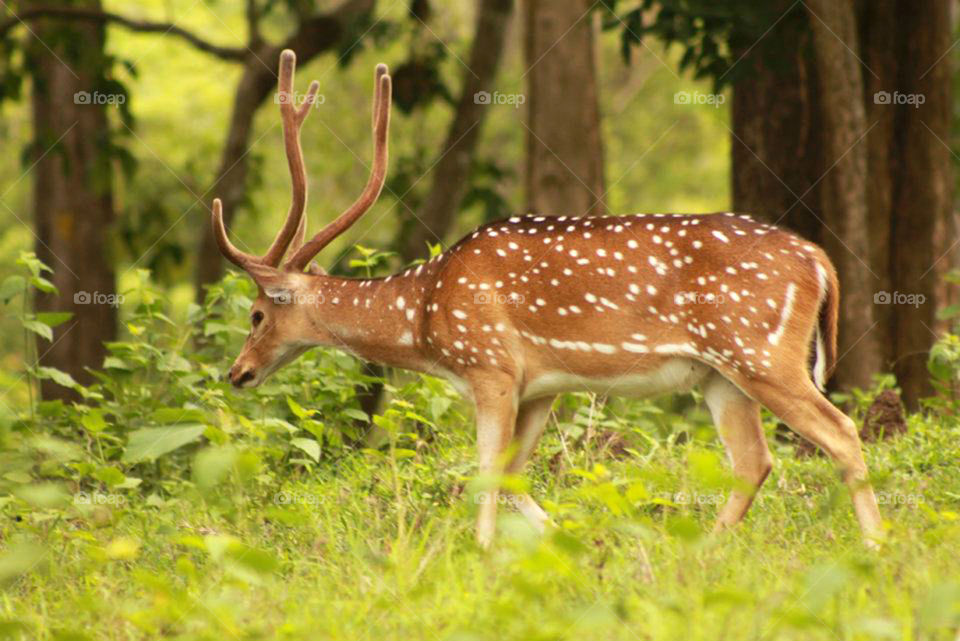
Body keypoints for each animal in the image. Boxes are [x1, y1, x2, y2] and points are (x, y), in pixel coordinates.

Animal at [210, 49, 884, 548]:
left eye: (257, 313)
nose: (237, 372)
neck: (426, 318)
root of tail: (819, 260)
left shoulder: (490, 366)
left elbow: (484, 471)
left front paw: (482, 553)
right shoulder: (538, 385)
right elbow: (512, 474)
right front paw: (573, 539)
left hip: (759, 350)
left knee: (842, 431)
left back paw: (877, 546)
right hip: (720, 375)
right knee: (754, 461)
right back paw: (704, 551)